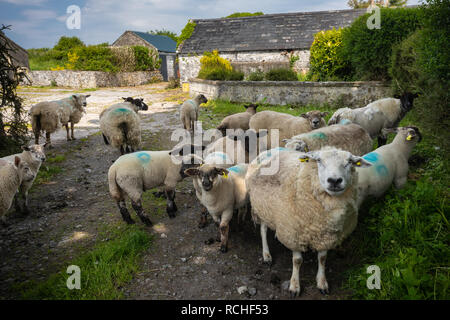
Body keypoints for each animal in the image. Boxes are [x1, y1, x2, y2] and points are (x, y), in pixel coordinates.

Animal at [246, 146, 372, 296]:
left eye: (349, 162)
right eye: (319, 160)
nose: (334, 180)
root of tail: (270, 150)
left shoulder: (326, 235)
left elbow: (322, 259)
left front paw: (322, 282)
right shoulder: (294, 234)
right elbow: (297, 261)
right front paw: (294, 286)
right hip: (262, 206)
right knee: (263, 230)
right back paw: (266, 255)